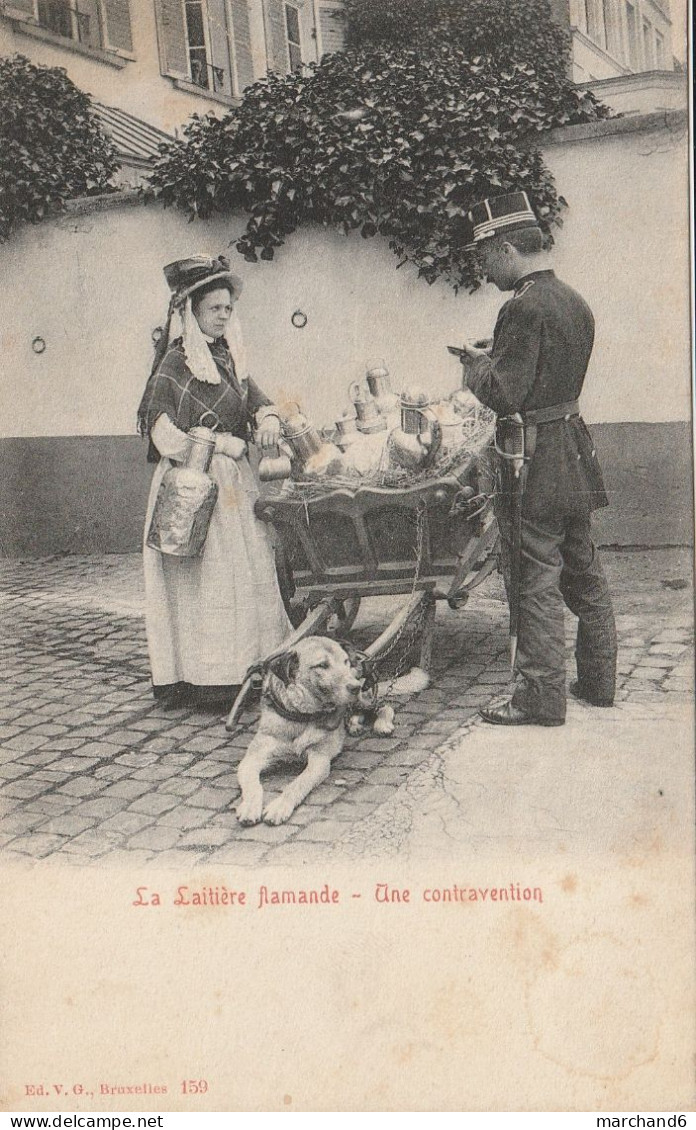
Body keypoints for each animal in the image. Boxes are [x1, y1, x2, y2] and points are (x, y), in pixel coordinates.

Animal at [236, 637, 427, 831]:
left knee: (384, 707)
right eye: (322, 665)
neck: (301, 716)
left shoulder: (319, 761)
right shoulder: (251, 760)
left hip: (362, 701)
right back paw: (353, 725)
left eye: (345, 662)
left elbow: (297, 784)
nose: (355, 686)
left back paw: (382, 724)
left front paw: (280, 806)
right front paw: (250, 807)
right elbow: (252, 786)